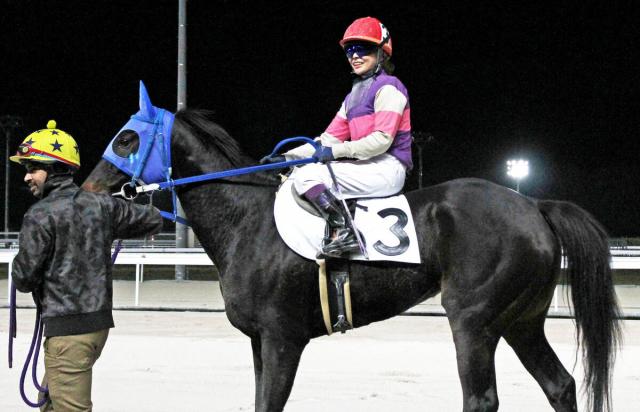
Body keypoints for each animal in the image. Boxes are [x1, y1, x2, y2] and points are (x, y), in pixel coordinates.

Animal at [83, 87, 621, 412]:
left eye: (126, 137)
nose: (88, 188)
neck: (248, 222)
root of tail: (533, 206)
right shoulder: (259, 340)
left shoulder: (282, 338)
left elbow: (270, 402)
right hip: (521, 320)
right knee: (559, 384)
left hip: (474, 320)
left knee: (482, 398)